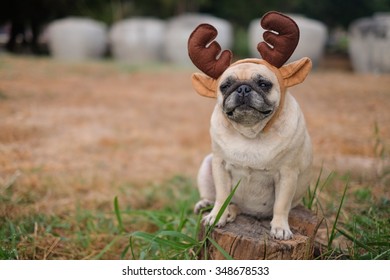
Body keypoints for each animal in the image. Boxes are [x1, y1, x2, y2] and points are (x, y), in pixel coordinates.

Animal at [187, 11, 312, 241]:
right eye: (225, 86)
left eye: (264, 84)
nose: (243, 88)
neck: (250, 132)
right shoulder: (219, 165)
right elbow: (222, 195)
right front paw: (217, 215)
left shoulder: (287, 174)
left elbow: (281, 205)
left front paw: (280, 227)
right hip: (207, 165)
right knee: (215, 196)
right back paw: (208, 205)